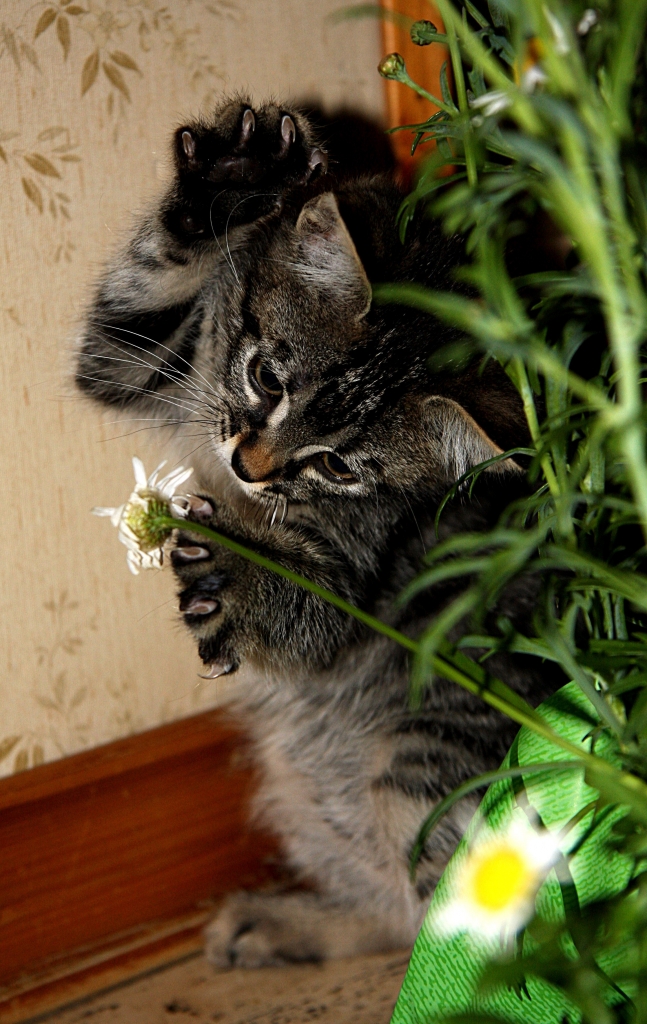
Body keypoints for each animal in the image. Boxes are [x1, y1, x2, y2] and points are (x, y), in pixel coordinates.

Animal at [78, 97, 556, 966]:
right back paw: (278, 924)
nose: (249, 464)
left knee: (473, 933)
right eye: (267, 376)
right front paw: (236, 178)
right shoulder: (148, 357)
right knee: (398, 913)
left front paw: (236, 577)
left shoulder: (354, 560)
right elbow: (141, 296)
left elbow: (312, 606)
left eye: (336, 464)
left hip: (424, 778)